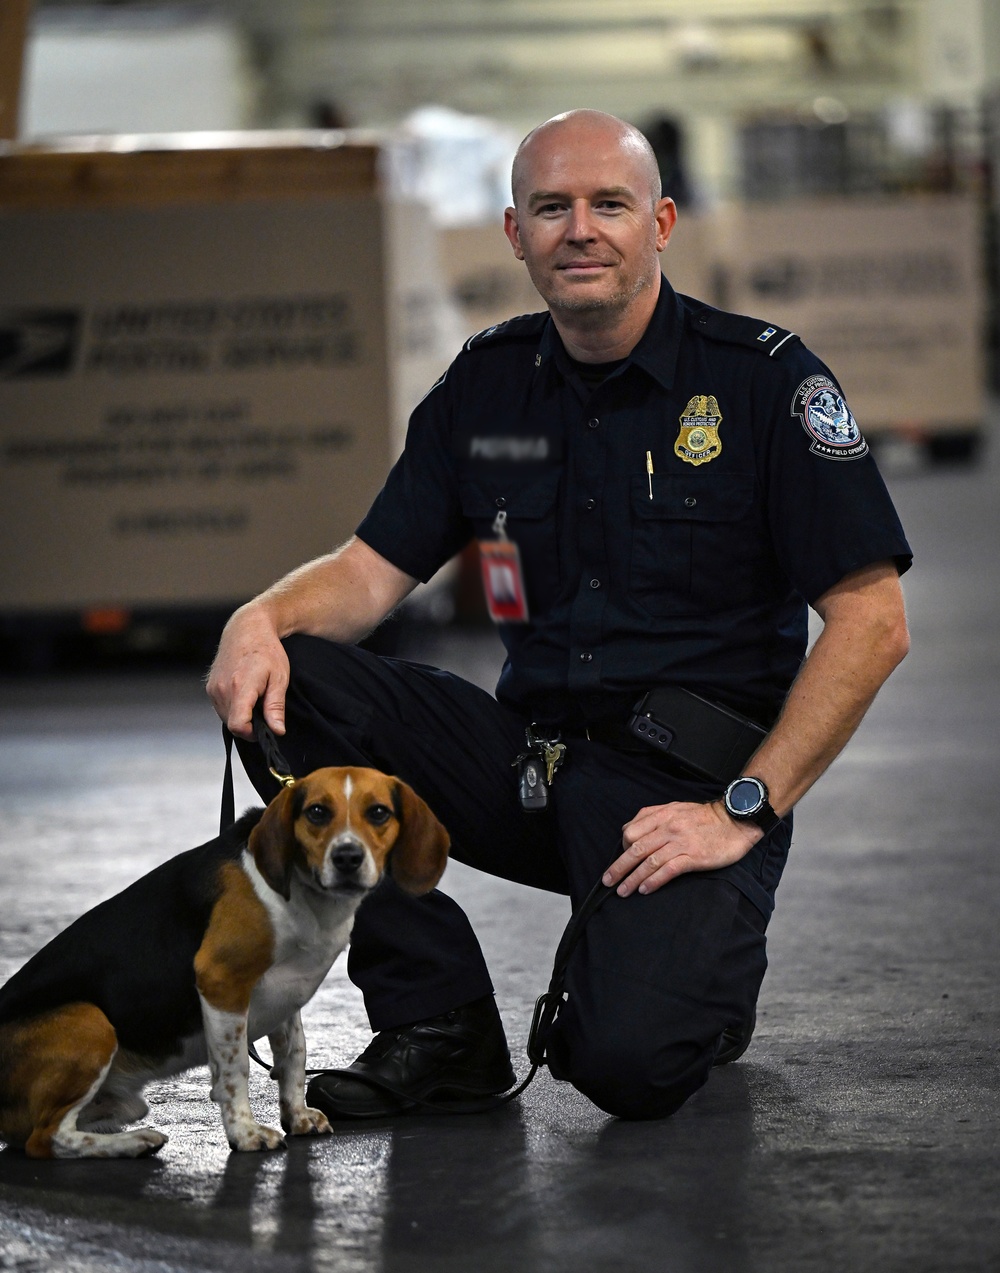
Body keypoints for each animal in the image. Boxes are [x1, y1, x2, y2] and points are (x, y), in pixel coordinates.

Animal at [0, 768, 447, 1160]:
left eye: (379, 812)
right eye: (317, 812)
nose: (348, 857)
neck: (303, 892)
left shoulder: (289, 992)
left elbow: (295, 1056)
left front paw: (296, 1116)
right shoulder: (222, 982)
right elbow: (234, 1071)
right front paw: (245, 1134)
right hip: (89, 1022)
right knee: (46, 1140)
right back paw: (133, 1143)